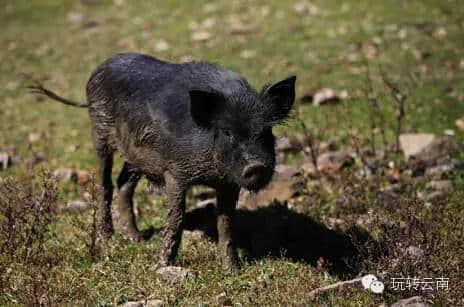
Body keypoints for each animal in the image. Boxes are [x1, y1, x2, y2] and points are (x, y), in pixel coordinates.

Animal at [30, 53, 296, 272]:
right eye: (227, 132)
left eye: (266, 131)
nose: (256, 166)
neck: (210, 171)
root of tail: (99, 69)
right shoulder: (175, 172)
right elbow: (176, 217)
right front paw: (162, 266)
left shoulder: (228, 183)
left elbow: (226, 222)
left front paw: (232, 270)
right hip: (100, 135)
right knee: (104, 185)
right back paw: (107, 239)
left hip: (135, 155)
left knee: (124, 183)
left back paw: (137, 238)